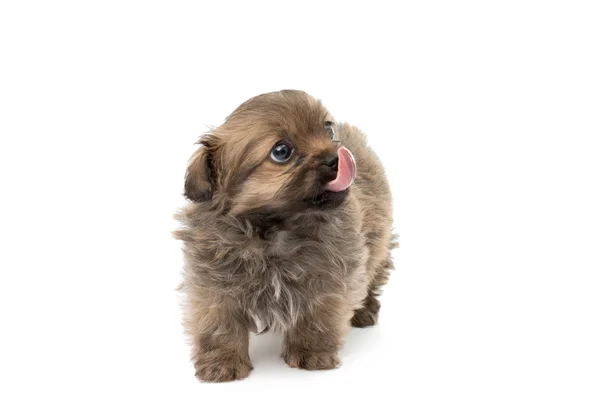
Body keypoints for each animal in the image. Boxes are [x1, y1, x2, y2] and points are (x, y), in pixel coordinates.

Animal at [173, 88, 396, 380]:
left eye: (328, 129)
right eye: (281, 151)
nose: (335, 157)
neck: (273, 230)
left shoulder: (328, 279)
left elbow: (318, 317)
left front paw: (312, 354)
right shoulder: (212, 284)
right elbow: (218, 323)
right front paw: (222, 362)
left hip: (379, 242)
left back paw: (365, 310)